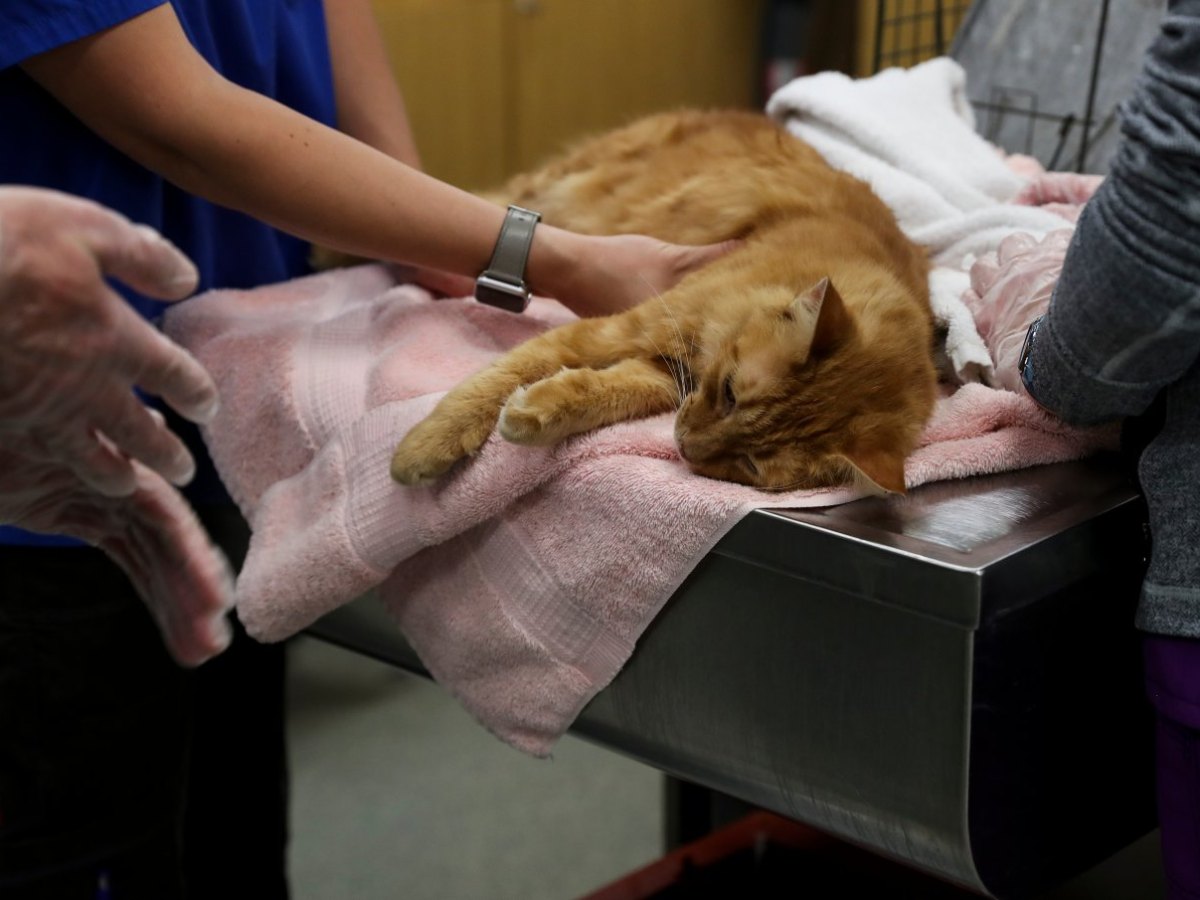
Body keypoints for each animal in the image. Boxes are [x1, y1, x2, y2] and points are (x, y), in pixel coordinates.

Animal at [388, 111, 931, 501]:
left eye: (750, 465)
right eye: (730, 393)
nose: (684, 445)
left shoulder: (664, 375)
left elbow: (599, 392)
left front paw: (535, 413)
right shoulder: (623, 328)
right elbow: (502, 375)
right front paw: (427, 444)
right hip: (554, 190)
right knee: (490, 199)